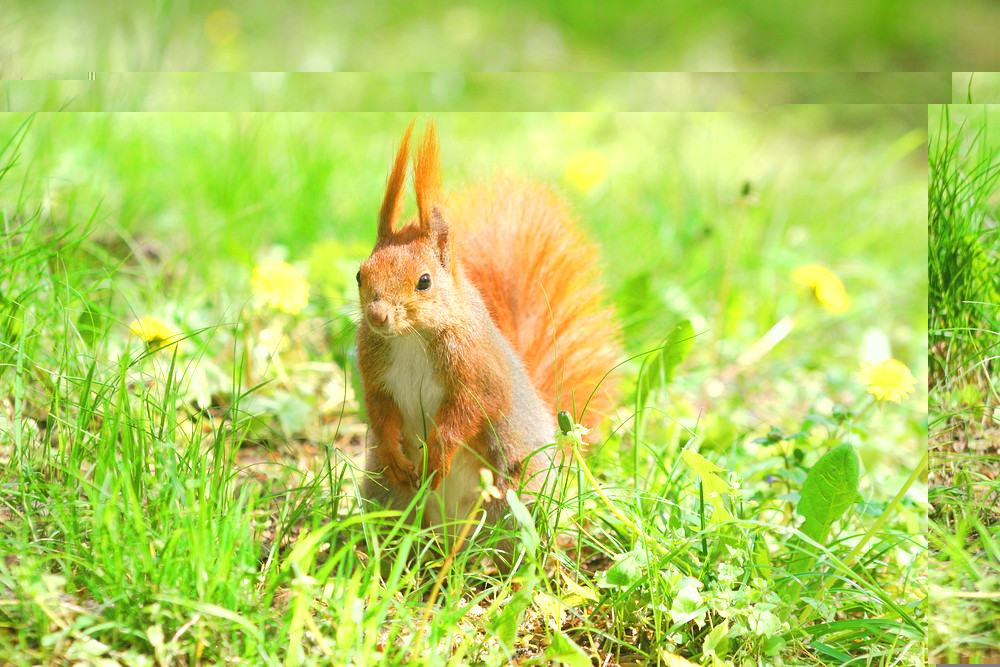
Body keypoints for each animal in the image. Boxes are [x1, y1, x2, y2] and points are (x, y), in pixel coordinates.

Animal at [352, 120, 616, 544]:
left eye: (424, 281)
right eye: (361, 275)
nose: (377, 316)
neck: (411, 339)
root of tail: (449, 530)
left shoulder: (478, 369)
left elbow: (472, 411)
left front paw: (437, 456)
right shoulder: (375, 372)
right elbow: (379, 408)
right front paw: (395, 451)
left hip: (513, 499)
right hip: (389, 497)